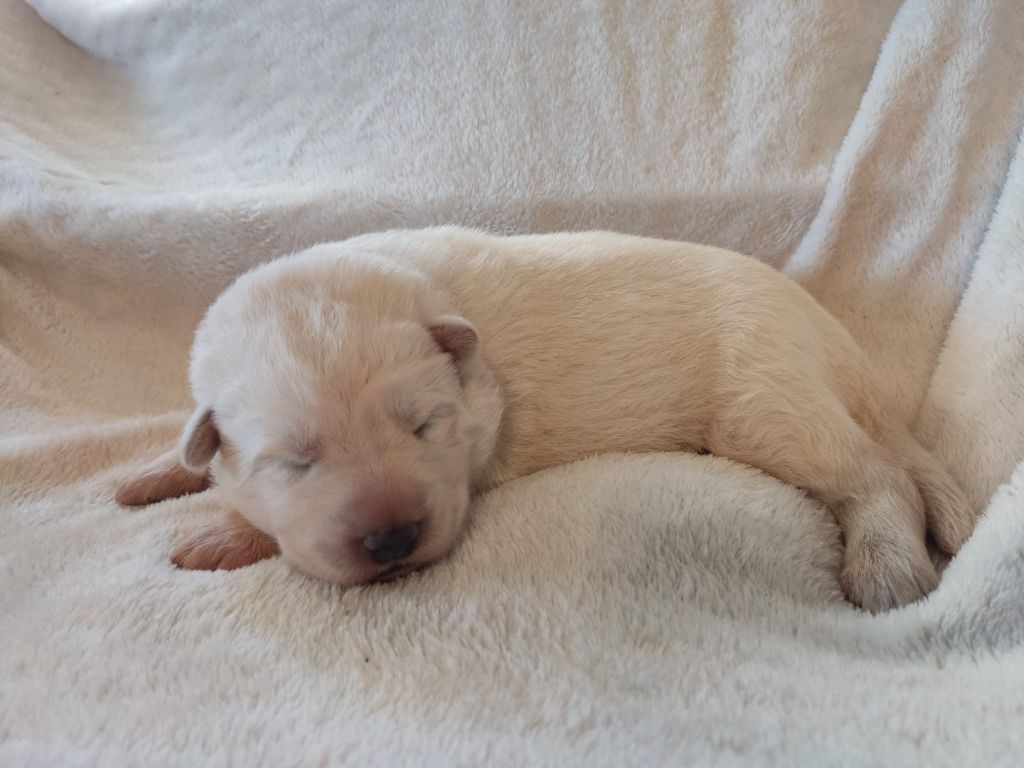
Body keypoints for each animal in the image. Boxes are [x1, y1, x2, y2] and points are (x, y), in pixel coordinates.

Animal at [119, 228, 974, 614]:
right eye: (294, 462)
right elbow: (192, 444)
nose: (392, 541)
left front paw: (218, 536)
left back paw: (888, 568)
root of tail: (844, 350)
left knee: (878, 474)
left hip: (766, 400)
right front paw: (150, 475)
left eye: (426, 425)